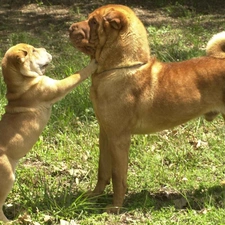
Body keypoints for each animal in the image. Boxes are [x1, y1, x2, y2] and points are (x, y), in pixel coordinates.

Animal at [0, 43, 96, 222]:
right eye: (34, 51)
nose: (43, 48)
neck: (20, 83)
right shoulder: (57, 87)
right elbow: (77, 75)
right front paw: (93, 63)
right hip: (8, 178)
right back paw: (10, 221)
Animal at [69, 4, 225, 214]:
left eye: (93, 22)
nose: (70, 27)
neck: (119, 67)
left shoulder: (119, 138)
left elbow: (118, 176)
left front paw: (115, 207)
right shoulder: (105, 133)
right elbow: (103, 169)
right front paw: (95, 196)